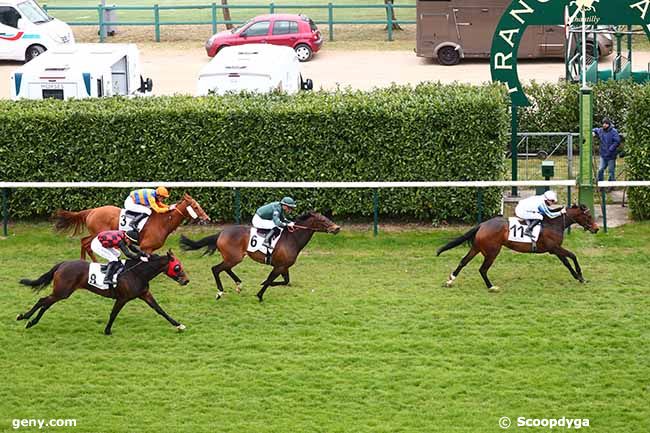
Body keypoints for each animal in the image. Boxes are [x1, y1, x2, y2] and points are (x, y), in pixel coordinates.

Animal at [17, 250, 189, 334]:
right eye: (177, 267)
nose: (186, 280)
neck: (137, 273)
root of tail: (62, 264)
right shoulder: (122, 298)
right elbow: (113, 314)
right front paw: (107, 330)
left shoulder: (144, 294)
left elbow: (160, 310)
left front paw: (178, 325)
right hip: (62, 292)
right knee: (42, 301)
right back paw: (24, 317)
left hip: (61, 293)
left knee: (46, 304)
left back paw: (32, 321)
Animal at [55, 192, 210, 260]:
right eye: (196, 207)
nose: (207, 219)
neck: (163, 222)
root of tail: (92, 211)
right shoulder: (146, 247)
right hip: (98, 233)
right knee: (86, 243)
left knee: (84, 242)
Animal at [177, 212, 340, 300]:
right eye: (323, 220)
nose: (337, 228)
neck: (292, 238)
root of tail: (221, 233)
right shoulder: (279, 266)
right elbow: (270, 280)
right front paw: (260, 295)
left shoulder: (284, 266)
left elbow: (285, 281)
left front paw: (262, 286)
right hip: (234, 258)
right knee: (216, 269)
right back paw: (220, 291)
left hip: (233, 258)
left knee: (225, 269)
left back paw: (238, 285)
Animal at [436, 202, 596, 290]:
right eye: (588, 216)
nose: (596, 229)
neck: (553, 224)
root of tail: (482, 224)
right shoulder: (555, 248)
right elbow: (573, 256)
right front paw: (581, 276)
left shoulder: (554, 250)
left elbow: (567, 263)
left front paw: (578, 277)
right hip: (492, 251)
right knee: (482, 269)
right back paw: (491, 286)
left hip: (477, 248)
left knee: (463, 261)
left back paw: (450, 280)